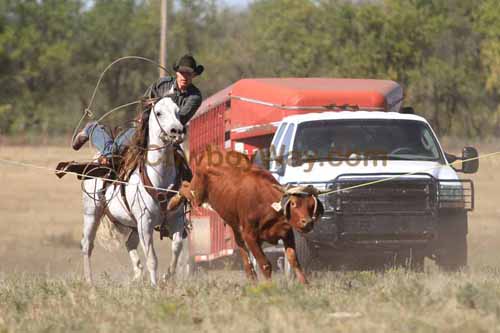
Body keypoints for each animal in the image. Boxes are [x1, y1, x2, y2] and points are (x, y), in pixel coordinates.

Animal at [82, 96, 188, 286]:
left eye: (178, 111)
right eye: (159, 113)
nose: (177, 131)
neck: (159, 177)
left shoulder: (176, 219)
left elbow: (176, 248)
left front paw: (166, 278)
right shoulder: (145, 223)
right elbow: (152, 258)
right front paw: (154, 285)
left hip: (131, 223)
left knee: (129, 244)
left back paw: (137, 276)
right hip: (91, 213)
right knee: (87, 244)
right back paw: (89, 283)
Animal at [168, 147, 324, 282]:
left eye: (311, 205)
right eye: (293, 204)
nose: (307, 222)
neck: (267, 205)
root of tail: (210, 152)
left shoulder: (286, 233)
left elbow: (294, 261)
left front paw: (305, 284)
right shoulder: (250, 235)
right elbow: (265, 264)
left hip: (233, 223)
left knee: (241, 246)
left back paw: (251, 276)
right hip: (197, 194)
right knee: (184, 187)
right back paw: (173, 202)